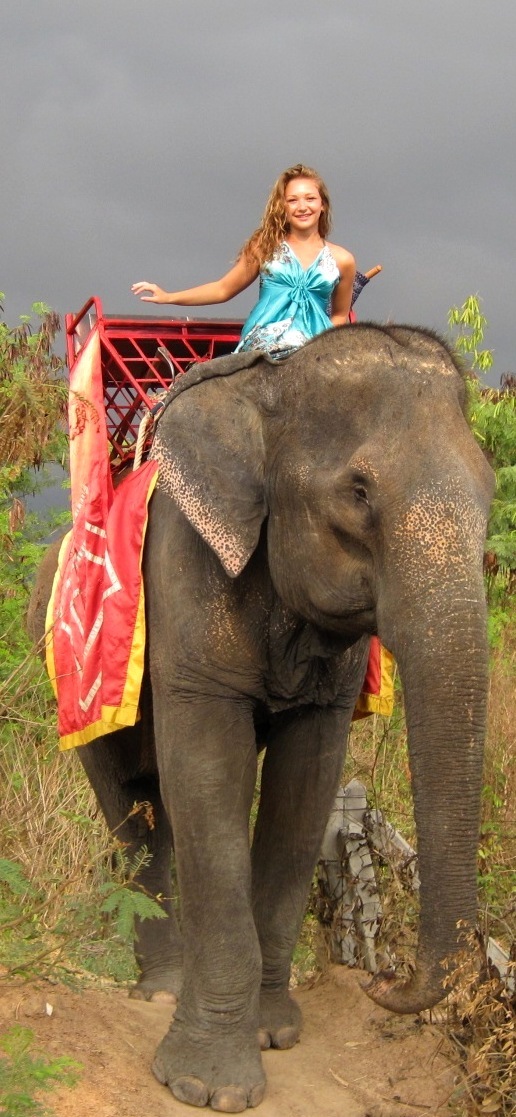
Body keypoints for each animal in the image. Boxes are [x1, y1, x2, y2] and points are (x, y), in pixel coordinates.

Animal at [28, 323, 494, 1113]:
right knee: (134, 808)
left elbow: (305, 786)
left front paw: (275, 1033)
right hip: (69, 668)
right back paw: (159, 991)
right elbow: (211, 769)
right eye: (358, 492)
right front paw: (204, 1084)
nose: (382, 980)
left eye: (491, 489)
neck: (269, 387)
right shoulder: (185, 572)